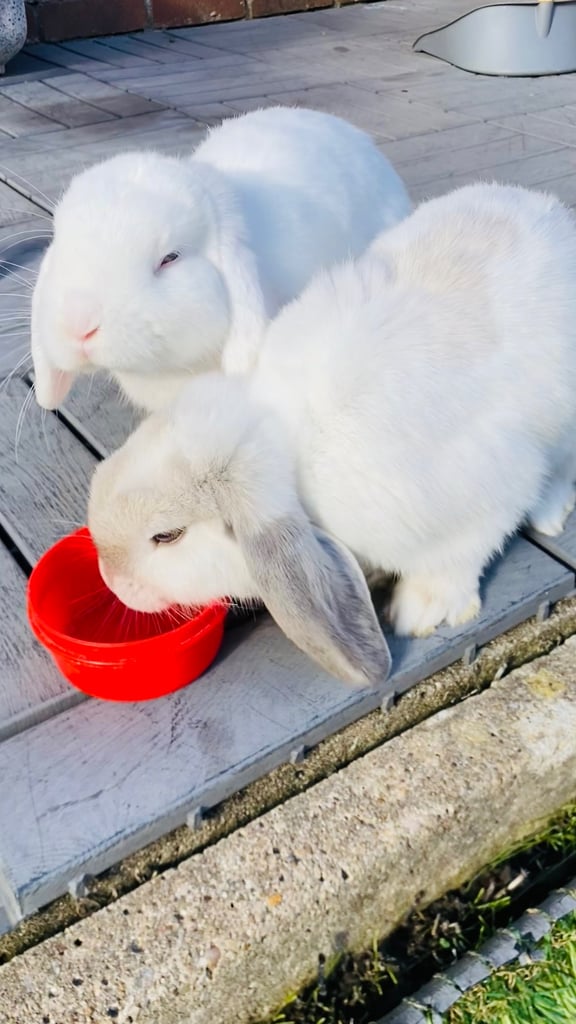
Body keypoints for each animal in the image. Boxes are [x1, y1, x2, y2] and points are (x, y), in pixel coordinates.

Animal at [87, 182, 576, 687]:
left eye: (168, 536)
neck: (287, 446)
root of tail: (554, 217)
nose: (110, 578)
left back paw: (549, 515)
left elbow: (456, 556)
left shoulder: (488, 491)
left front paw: (419, 612)